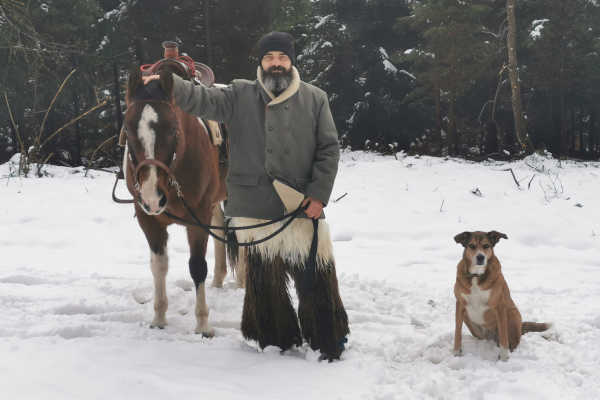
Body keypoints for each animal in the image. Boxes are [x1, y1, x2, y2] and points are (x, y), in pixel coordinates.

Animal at [122, 67, 234, 336]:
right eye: (128, 130)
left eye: (173, 129)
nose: (152, 196)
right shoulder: (148, 219)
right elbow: (159, 266)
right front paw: (159, 318)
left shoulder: (198, 218)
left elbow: (197, 266)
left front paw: (203, 324)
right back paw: (218, 280)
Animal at [452, 230, 552, 360]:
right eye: (472, 246)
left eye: (486, 246)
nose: (480, 257)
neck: (476, 276)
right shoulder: (460, 304)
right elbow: (457, 331)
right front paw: (456, 352)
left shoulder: (499, 306)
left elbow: (504, 335)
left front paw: (504, 357)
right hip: (469, 320)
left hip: (512, 314)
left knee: (512, 341)